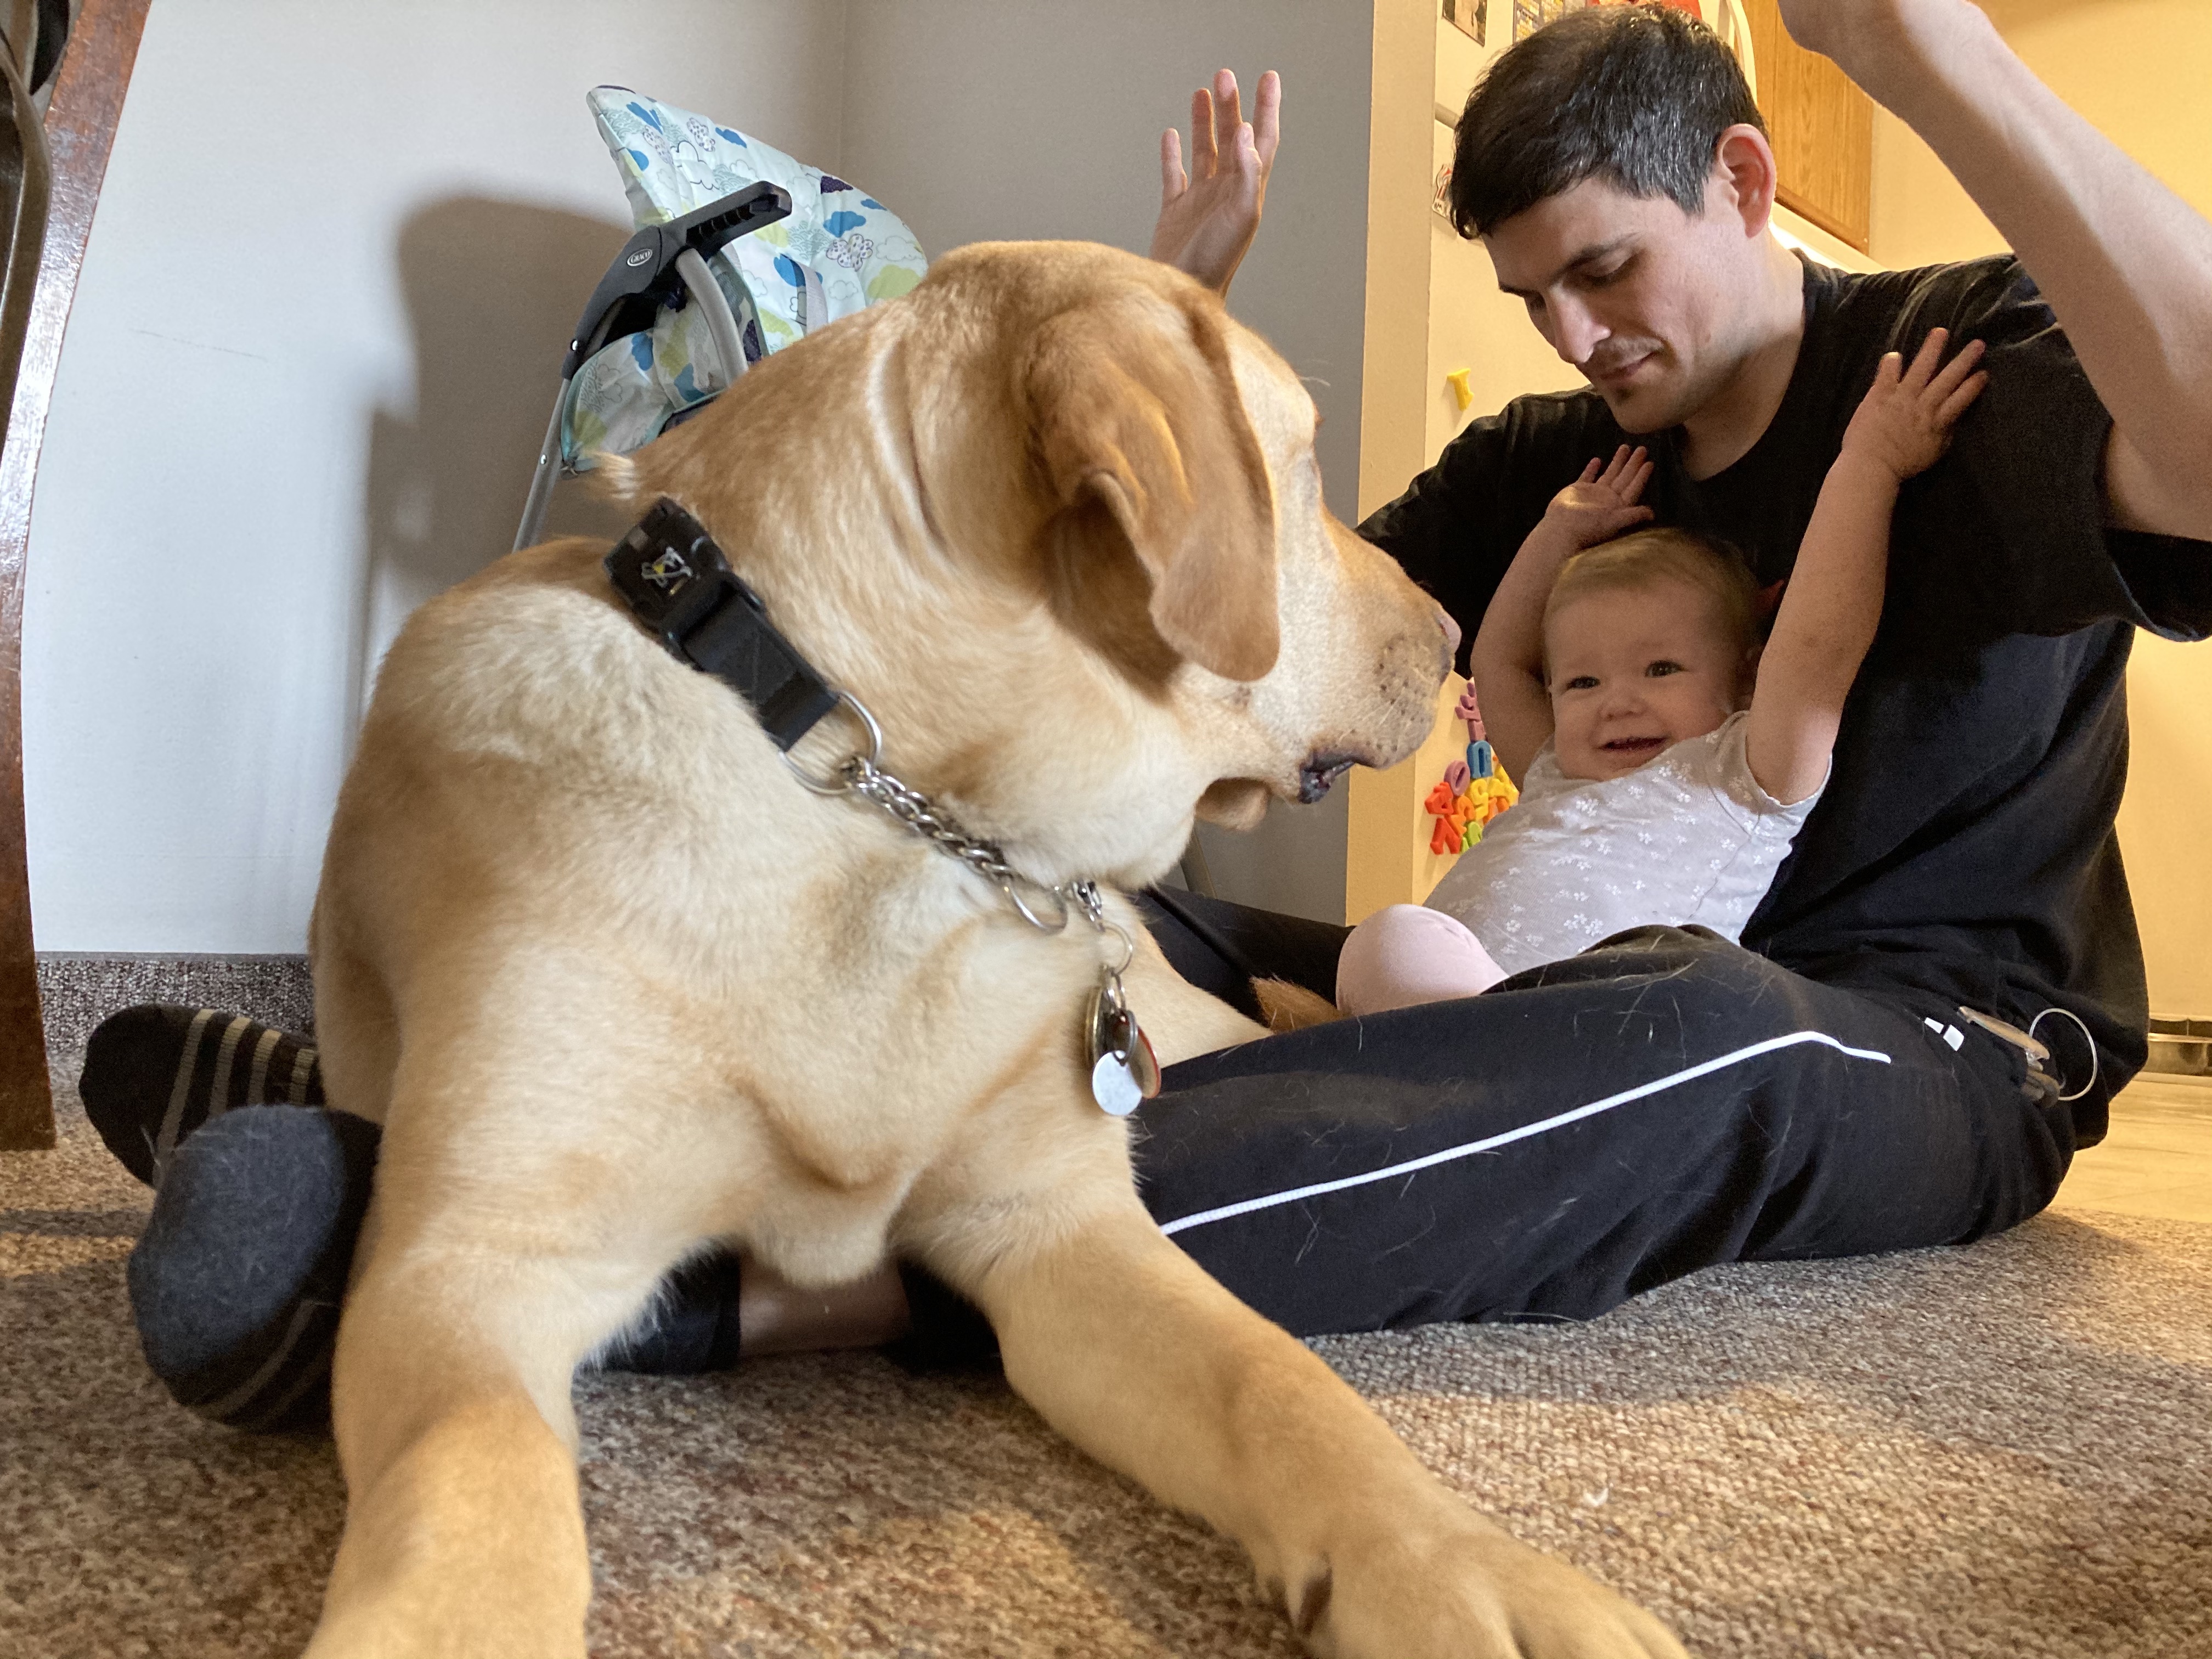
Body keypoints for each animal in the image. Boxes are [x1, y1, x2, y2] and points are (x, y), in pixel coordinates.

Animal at [298, 236, 1672, 1659]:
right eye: (1299, 467)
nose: (1455, 632)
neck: (868, 785)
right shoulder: (471, 1259)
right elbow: (477, 1474)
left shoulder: (1056, 1229)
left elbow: (1283, 1385)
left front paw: (1464, 1565)